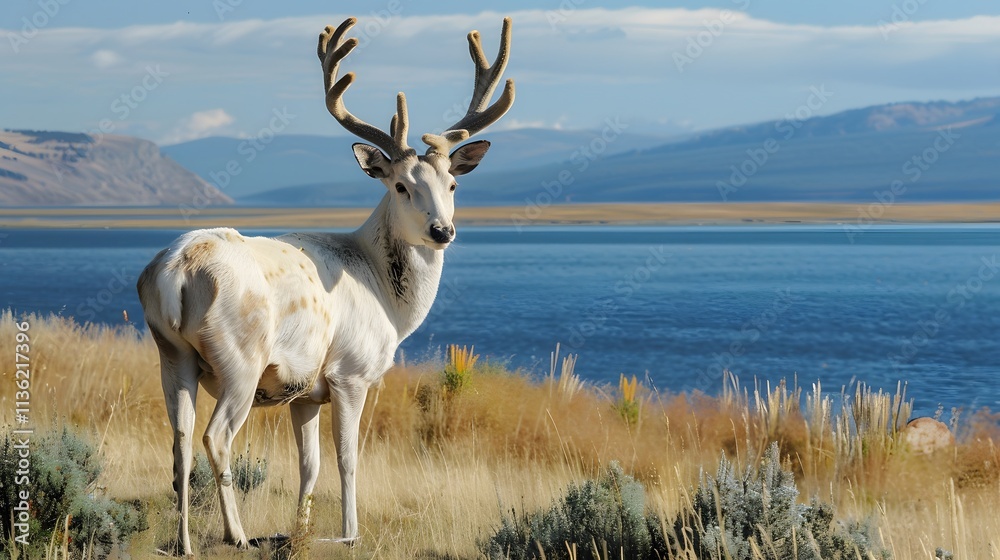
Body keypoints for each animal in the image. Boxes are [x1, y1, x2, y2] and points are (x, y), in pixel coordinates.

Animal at [136, 16, 514, 555]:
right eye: (401, 186)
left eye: (453, 184)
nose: (442, 230)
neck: (387, 300)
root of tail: (178, 271)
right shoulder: (350, 373)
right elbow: (347, 460)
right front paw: (349, 533)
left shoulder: (305, 393)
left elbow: (309, 467)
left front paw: (301, 532)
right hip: (240, 356)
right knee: (217, 436)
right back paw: (238, 535)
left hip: (170, 351)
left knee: (180, 440)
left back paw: (186, 542)